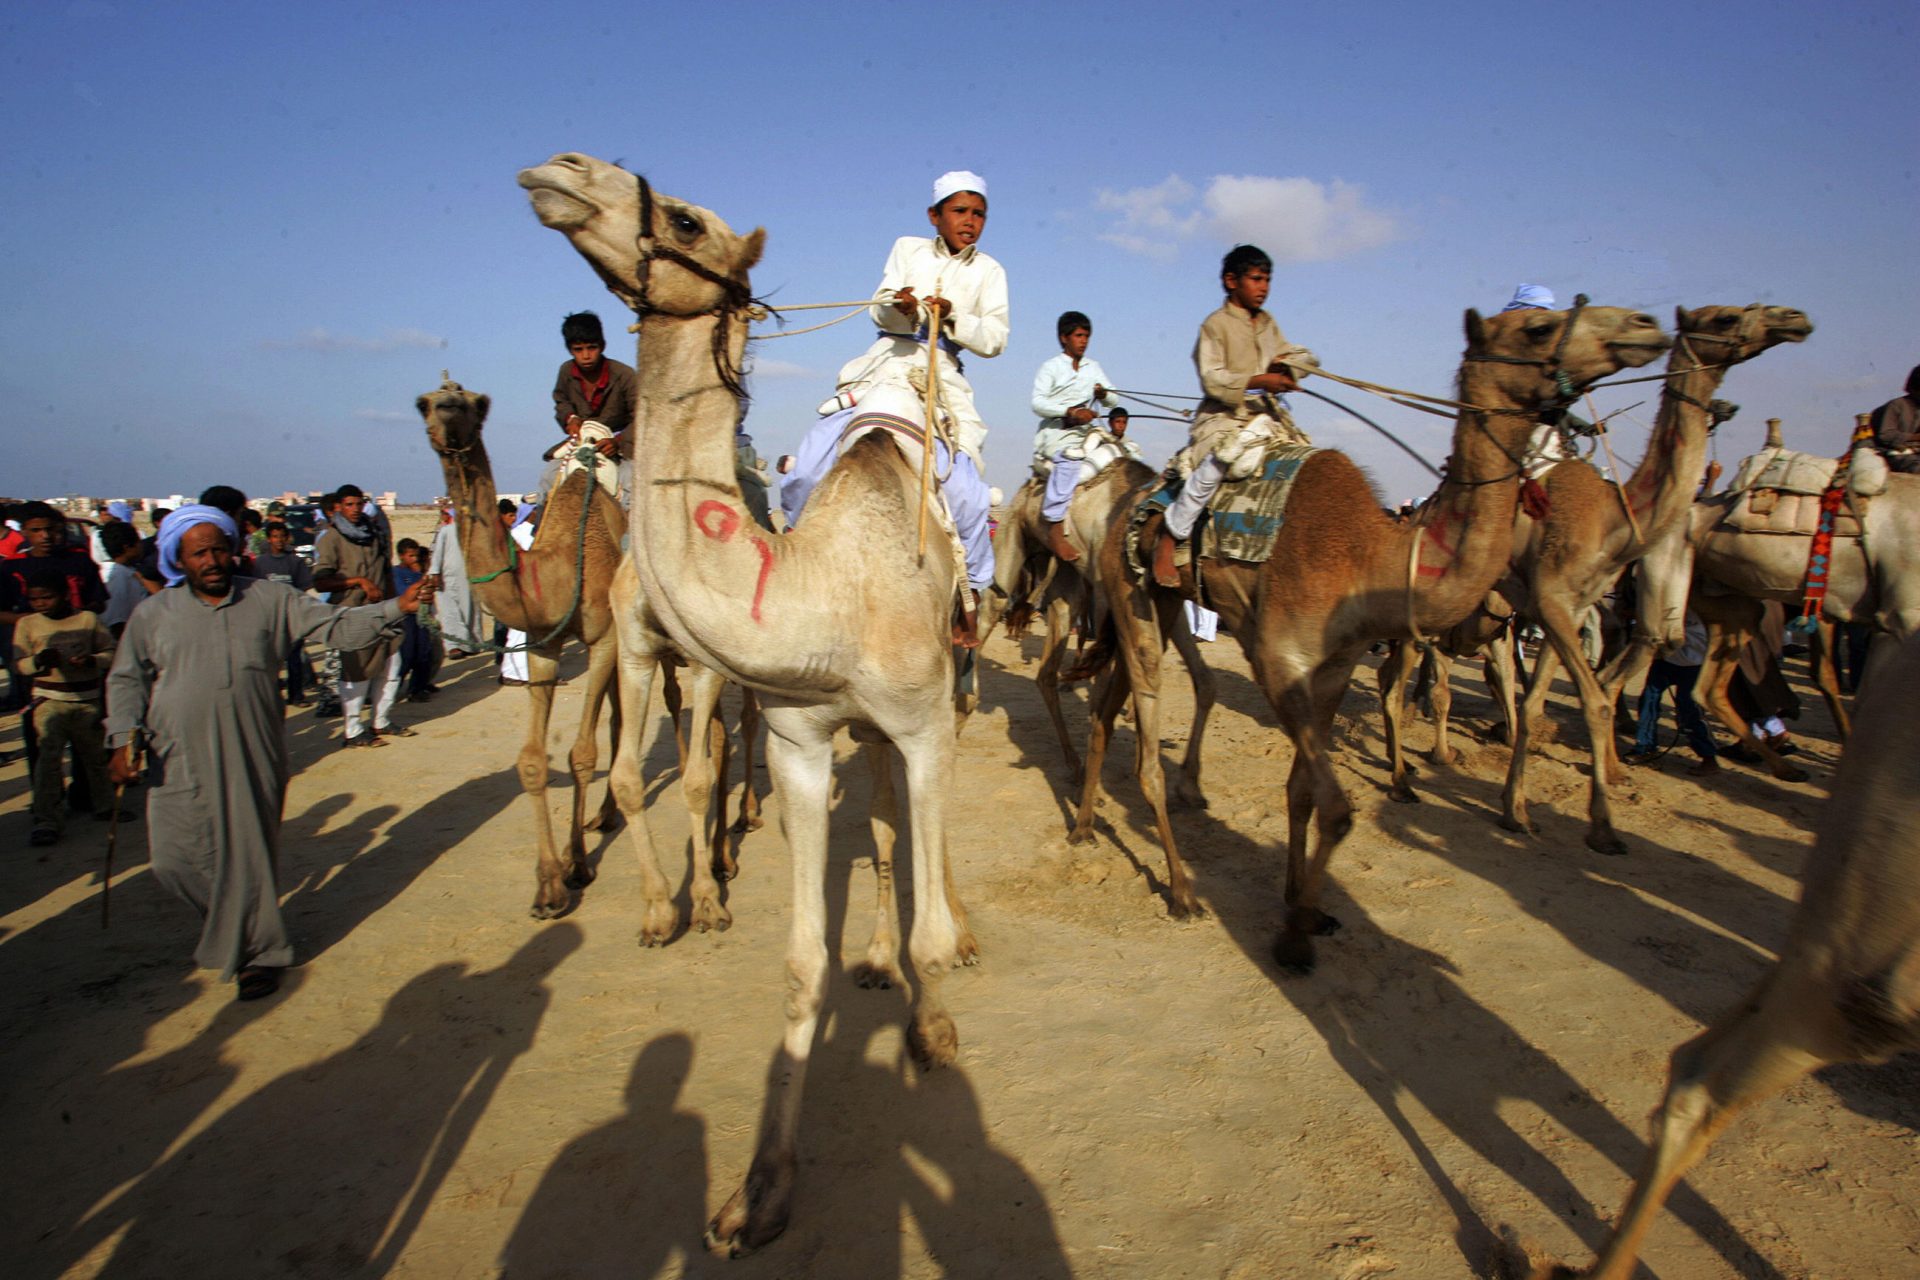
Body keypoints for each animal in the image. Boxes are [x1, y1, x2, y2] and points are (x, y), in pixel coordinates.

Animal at [522, 147, 975, 1251]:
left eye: (686, 219)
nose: (558, 170)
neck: (829, 591)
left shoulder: (924, 719)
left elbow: (930, 902)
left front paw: (934, 1025)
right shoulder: (800, 742)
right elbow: (800, 963)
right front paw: (758, 1191)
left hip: (949, 686)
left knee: (927, 824)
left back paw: (944, 946)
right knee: (886, 820)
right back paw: (876, 957)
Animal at [1082, 301, 1666, 967]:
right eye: (1537, 328)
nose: (1645, 325)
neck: (1371, 558)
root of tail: (1124, 508)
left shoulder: (1333, 667)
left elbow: (1302, 790)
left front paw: (1302, 904)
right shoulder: (1278, 661)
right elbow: (1337, 810)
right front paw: (1294, 939)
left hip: (1156, 601)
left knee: (1105, 708)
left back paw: (1083, 827)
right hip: (1133, 597)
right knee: (1146, 754)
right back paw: (1181, 891)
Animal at [1382, 305, 1797, 855]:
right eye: (1725, 319)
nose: (1793, 319)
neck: (1612, 520)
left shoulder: (1570, 611)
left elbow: (1535, 703)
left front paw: (1515, 809)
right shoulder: (1552, 602)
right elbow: (1595, 701)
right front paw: (1602, 826)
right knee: (1405, 685)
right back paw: (1406, 773)